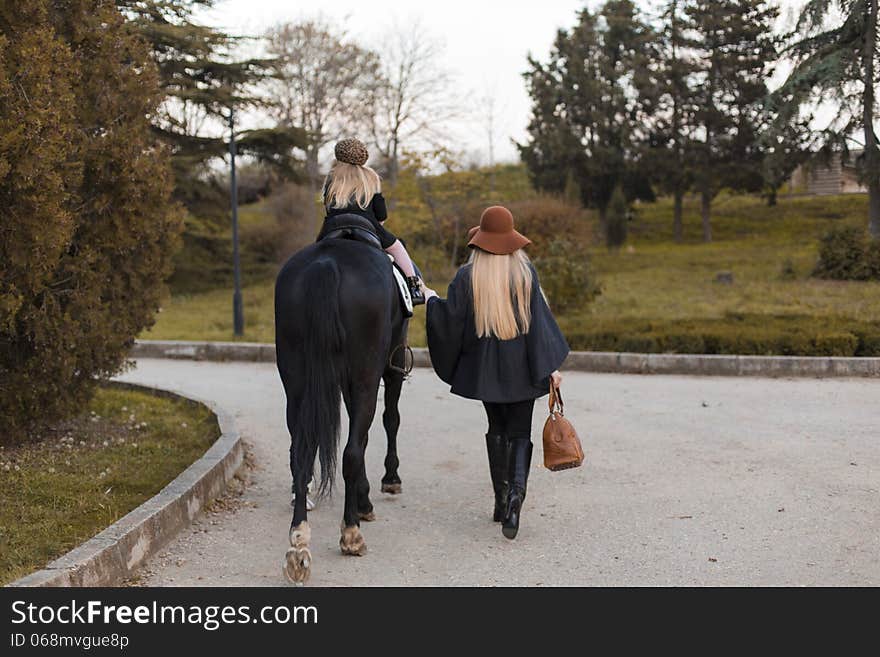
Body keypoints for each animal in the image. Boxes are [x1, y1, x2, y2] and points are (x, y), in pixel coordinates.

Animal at [276, 226, 410, 584]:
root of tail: (327, 265)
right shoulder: (387, 368)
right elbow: (389, 420)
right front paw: (386, 481)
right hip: (366, 375)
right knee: (352, 451)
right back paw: (351, 532)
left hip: (297, 382)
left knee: (301, 451)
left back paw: (298, 542)